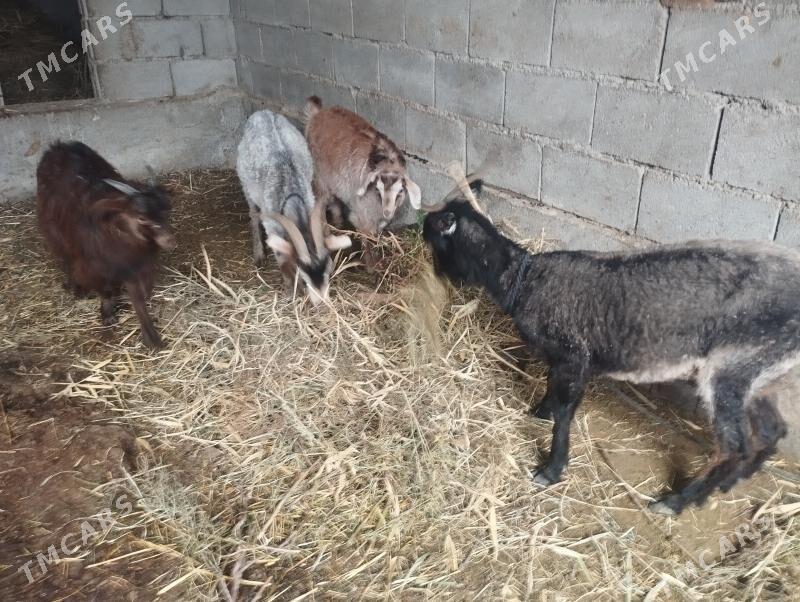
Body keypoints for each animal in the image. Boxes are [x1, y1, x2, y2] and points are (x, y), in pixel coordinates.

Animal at [36, 141, 175, 349]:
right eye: (141, 217)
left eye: (166, 210)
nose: (169, 240)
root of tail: (57, 146)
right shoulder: (96, 266)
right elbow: (106, 290)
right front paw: (108, 314)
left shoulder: (133, 264)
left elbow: (138, 297)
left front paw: (152, 337)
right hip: (54, 230)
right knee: (65, 257)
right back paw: (77, 288)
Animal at [237, 110, 352, 305]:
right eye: (303, 273)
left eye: (327, 270)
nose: (320, 301)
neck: (292, 198)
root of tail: (262, 112)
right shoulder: (273, 224)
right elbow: (282, 259)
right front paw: (290, 290)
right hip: (246, 185)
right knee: (253, 214)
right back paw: (258, 253)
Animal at [304, 96, 421, 265]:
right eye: (378, 188)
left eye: (400, 191)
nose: (387, 212)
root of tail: (316, 114)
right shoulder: (364, 216)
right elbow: (368, 240)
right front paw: (373, 266)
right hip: (319, 177)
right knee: (320, 205)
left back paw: (338, 222)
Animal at [423, 186, 798, 515]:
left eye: (434, 230)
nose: (419, 223)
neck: (523, 278)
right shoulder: (564, 358)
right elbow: (552, 390)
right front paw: (539, 412)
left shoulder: (575, 355)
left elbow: (565, 413)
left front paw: (551, 469)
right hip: (763, 371)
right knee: (772, 430)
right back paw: (733, 481)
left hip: (732, 367)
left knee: (734, 446)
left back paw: (677, 501)